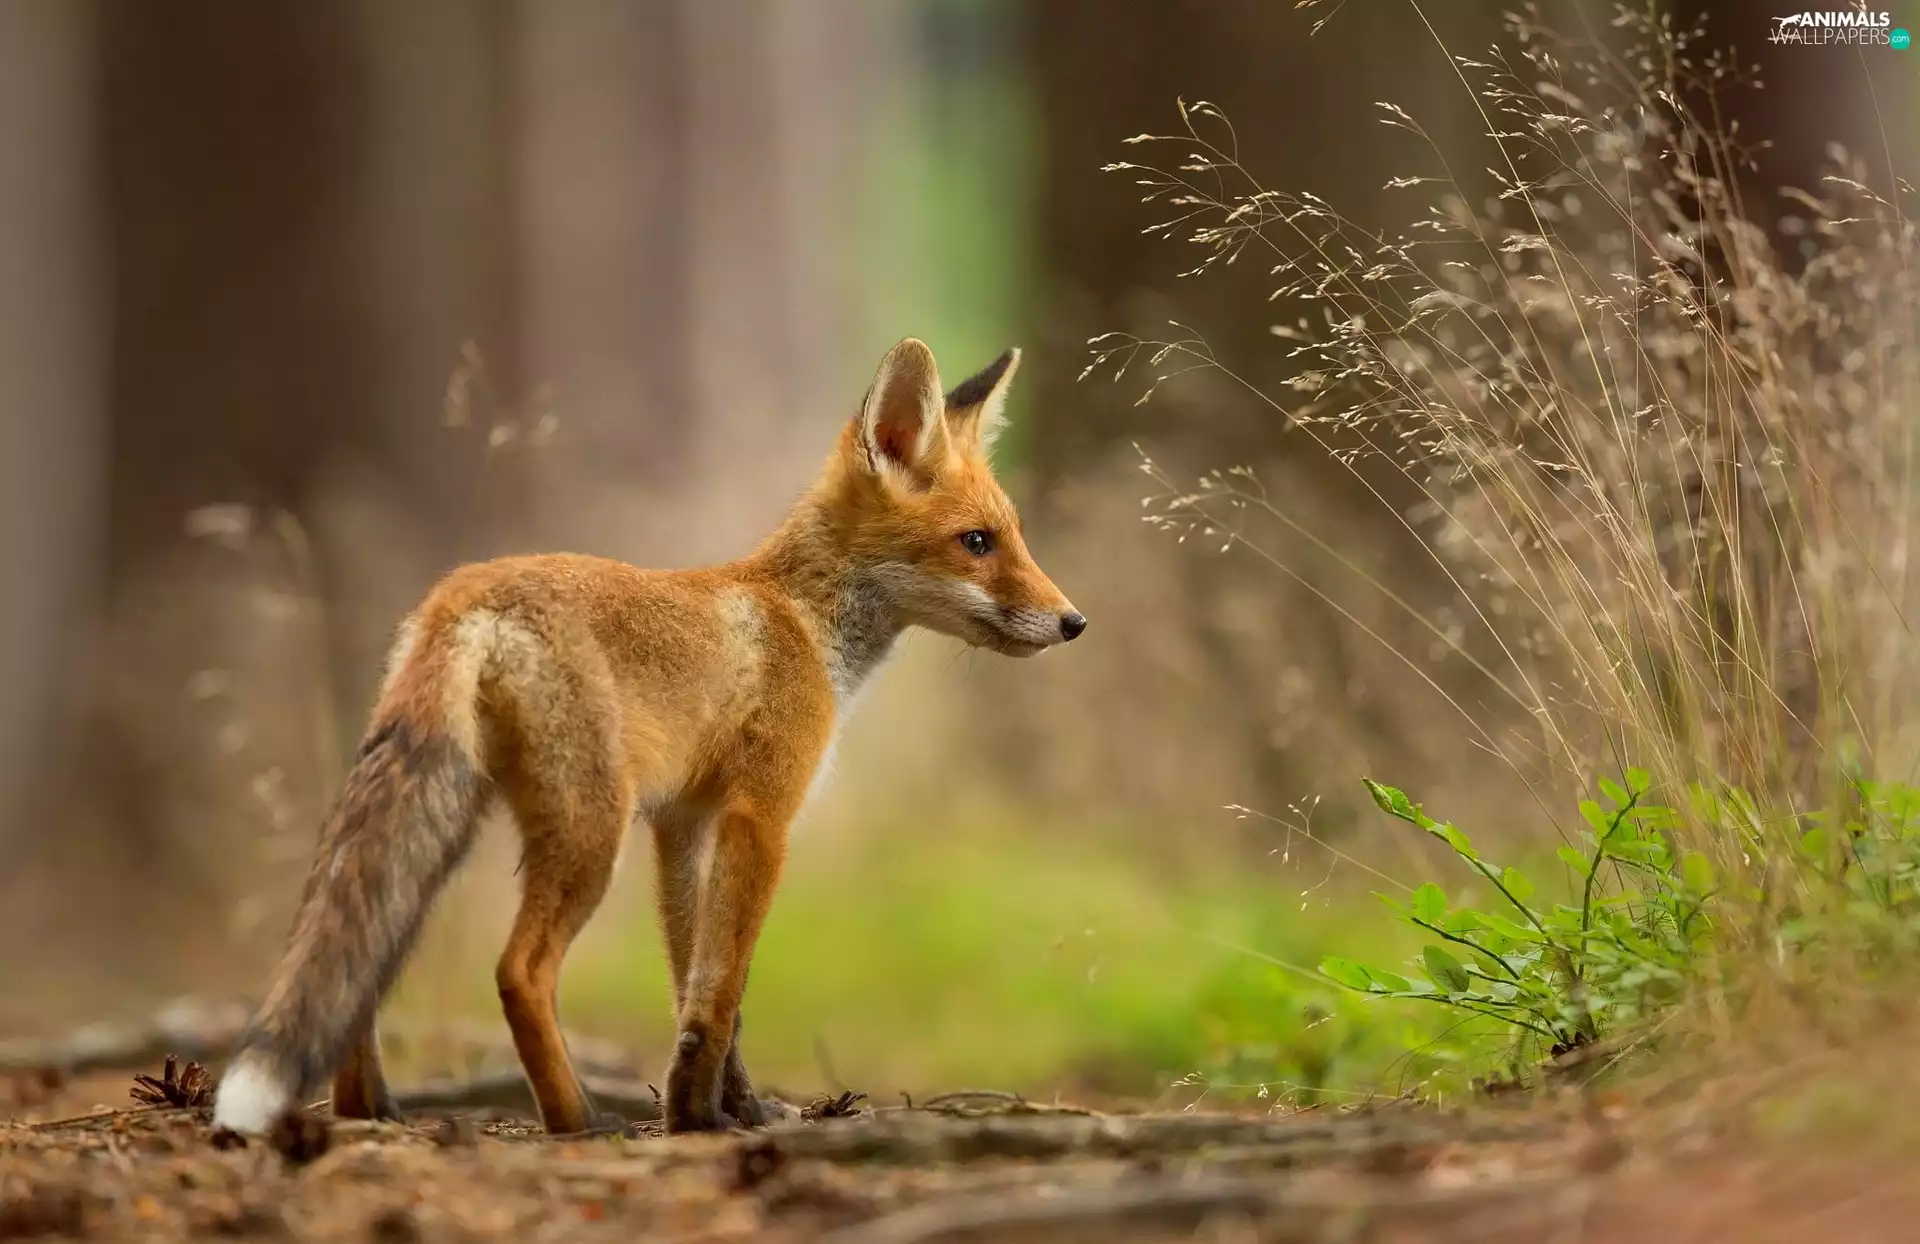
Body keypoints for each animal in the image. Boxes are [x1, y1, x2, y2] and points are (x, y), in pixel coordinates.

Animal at [211, 337, 1084, 1137]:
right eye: (977, 542)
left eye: (1014, 536)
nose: (1074, 622)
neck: (800, 620)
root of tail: (463, 594)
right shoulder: (760, 816)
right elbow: (724, 990)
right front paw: (701, 1117)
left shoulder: (682, 823)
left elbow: (695, 990)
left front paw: (730, 1108)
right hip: (588, 832)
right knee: (519, 972)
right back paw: (578, 1119)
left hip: (448, 821)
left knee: (362, 964)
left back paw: (368, 1109)